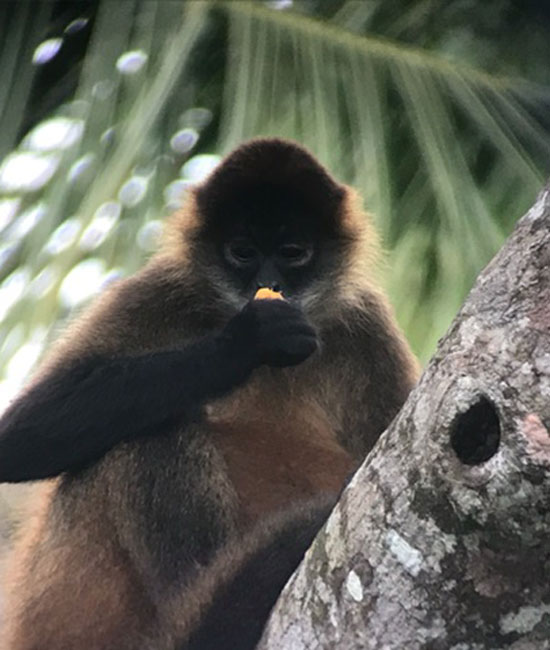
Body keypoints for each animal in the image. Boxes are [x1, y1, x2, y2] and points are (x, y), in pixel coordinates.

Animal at [0, 138, 418, 648]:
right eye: (242, 252)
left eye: (293, 252)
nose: (269, 284)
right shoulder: (163, 289)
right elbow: (19, 437)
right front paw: (246, 340)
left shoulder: (366, 323)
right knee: (151, 426)